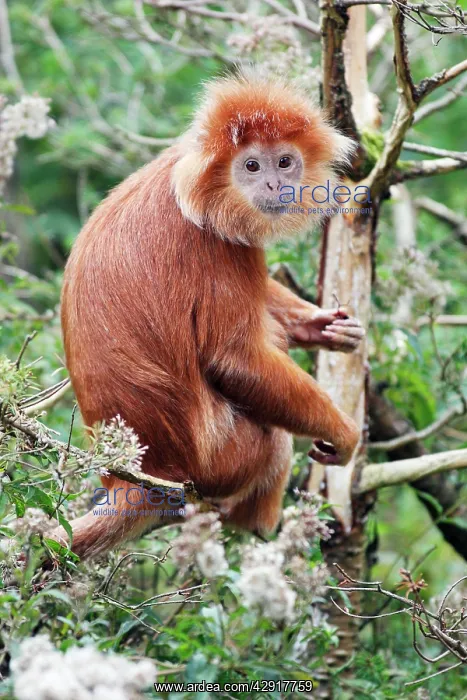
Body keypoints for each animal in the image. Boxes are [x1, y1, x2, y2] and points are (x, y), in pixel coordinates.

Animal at [58, 70, 364, 558]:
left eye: (284, 162)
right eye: (252, 167)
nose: (274, 185)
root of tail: (133, 478)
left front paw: (320, 327)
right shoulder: (215, 240)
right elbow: (234, 361)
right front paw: (346, 433)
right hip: (220, 460)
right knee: (274, 438)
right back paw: (255, 525)